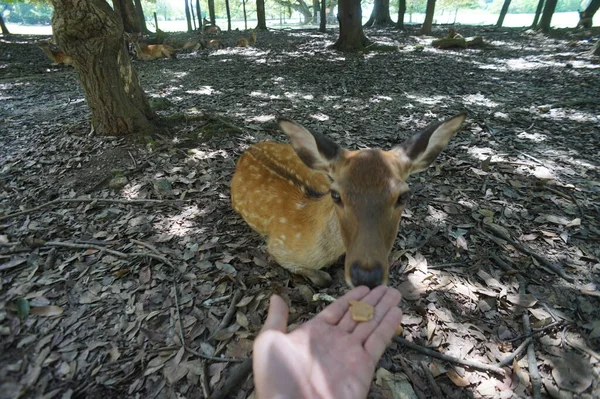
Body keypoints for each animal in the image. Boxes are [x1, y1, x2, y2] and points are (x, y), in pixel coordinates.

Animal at [231, 114, 468, 290]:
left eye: (403, 196)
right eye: (336, 195)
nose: (366, 276)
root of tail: (251, 147)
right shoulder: (277, 247)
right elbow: (323, 278)